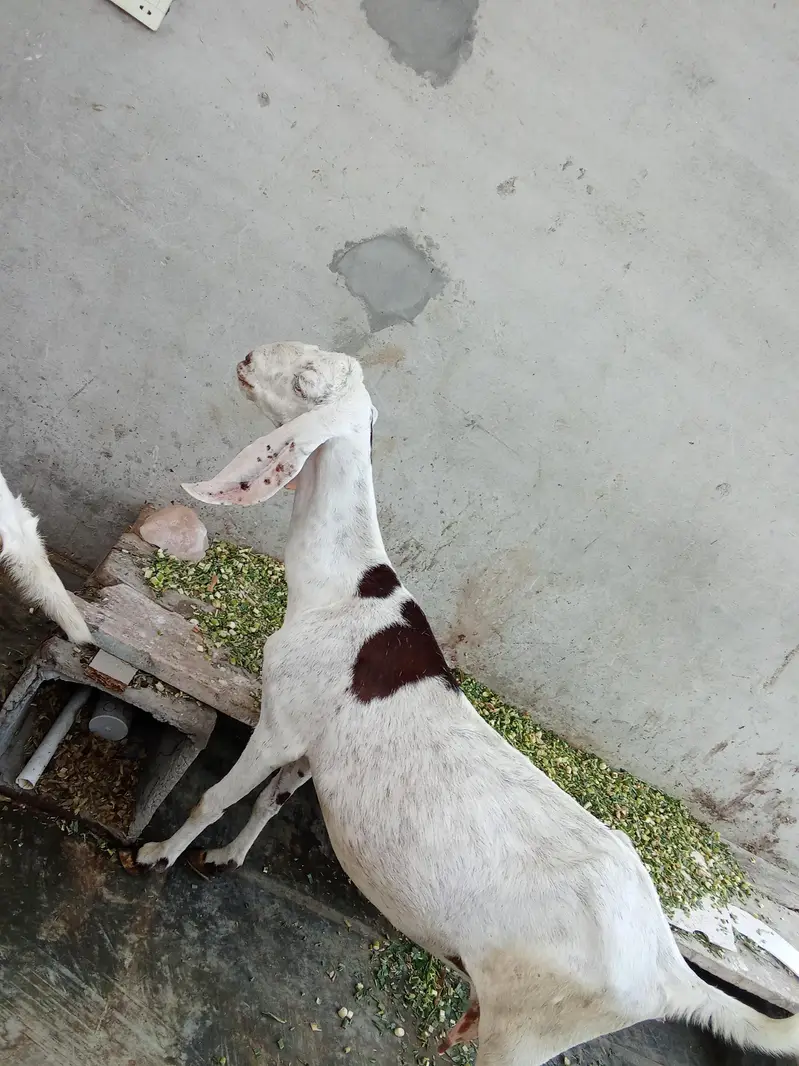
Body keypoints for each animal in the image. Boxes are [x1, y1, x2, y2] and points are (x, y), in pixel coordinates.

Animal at [133, 343, 799, 1064]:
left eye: (308, 383)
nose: (248, 359)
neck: (343, 590)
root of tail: (669, 976)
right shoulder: (314, 746)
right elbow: (269, 803)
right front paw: (224, 859)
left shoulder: (282, 720)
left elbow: (212, 798)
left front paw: (159, 853)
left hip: (528, 1031)